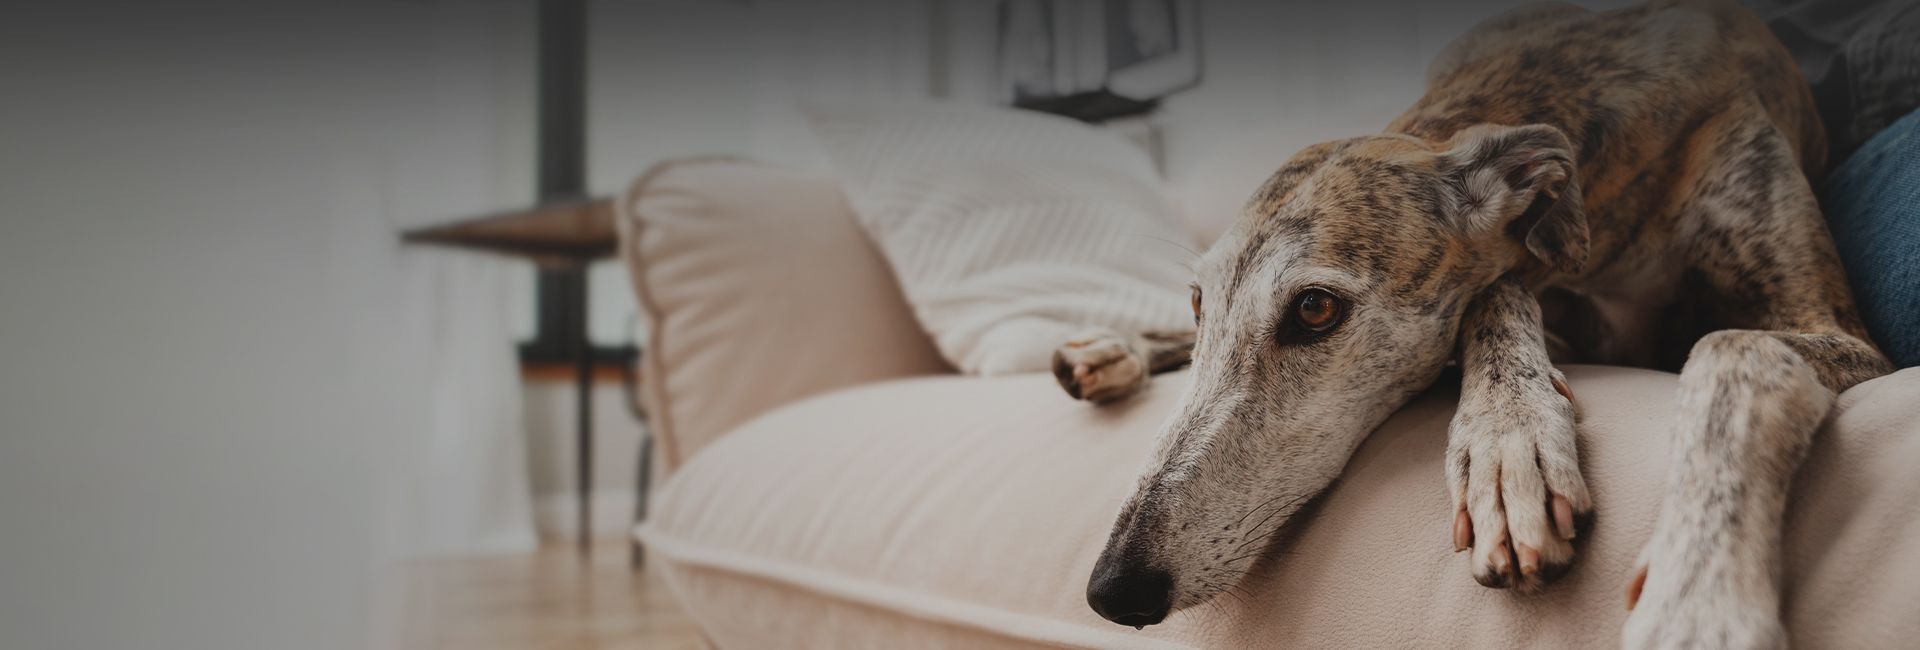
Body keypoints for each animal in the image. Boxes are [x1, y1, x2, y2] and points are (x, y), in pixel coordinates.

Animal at [1052, 0, 1889, 648]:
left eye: (1315, 309)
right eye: (1201, 302)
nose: (1113, 590)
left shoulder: (1841, 331)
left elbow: (1733, 348)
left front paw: (1697, 603)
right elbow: (1496, 294)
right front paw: (1508, 448)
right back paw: (1106, 348)